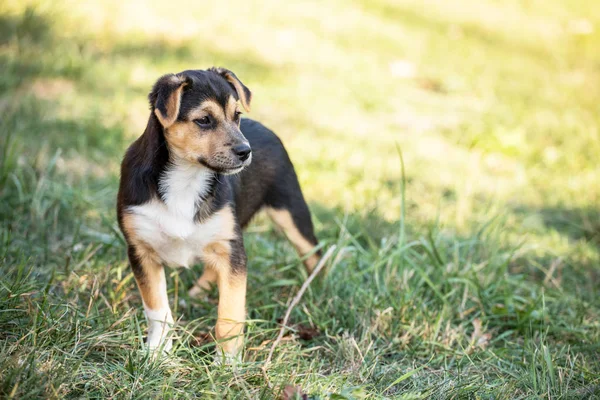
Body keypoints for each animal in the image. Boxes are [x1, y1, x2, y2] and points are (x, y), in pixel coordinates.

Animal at [119, 67, 322, 360]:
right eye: (204, 120)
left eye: (237, 115)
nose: (245, 151)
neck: (187, 178)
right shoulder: (140, 250)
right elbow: (157, 309)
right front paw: (157, 353)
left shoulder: (232, 248)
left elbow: (229, 315)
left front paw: (227, 362)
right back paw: (197, 292)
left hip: (291, 210)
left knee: (314, 254)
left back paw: (316, 291)